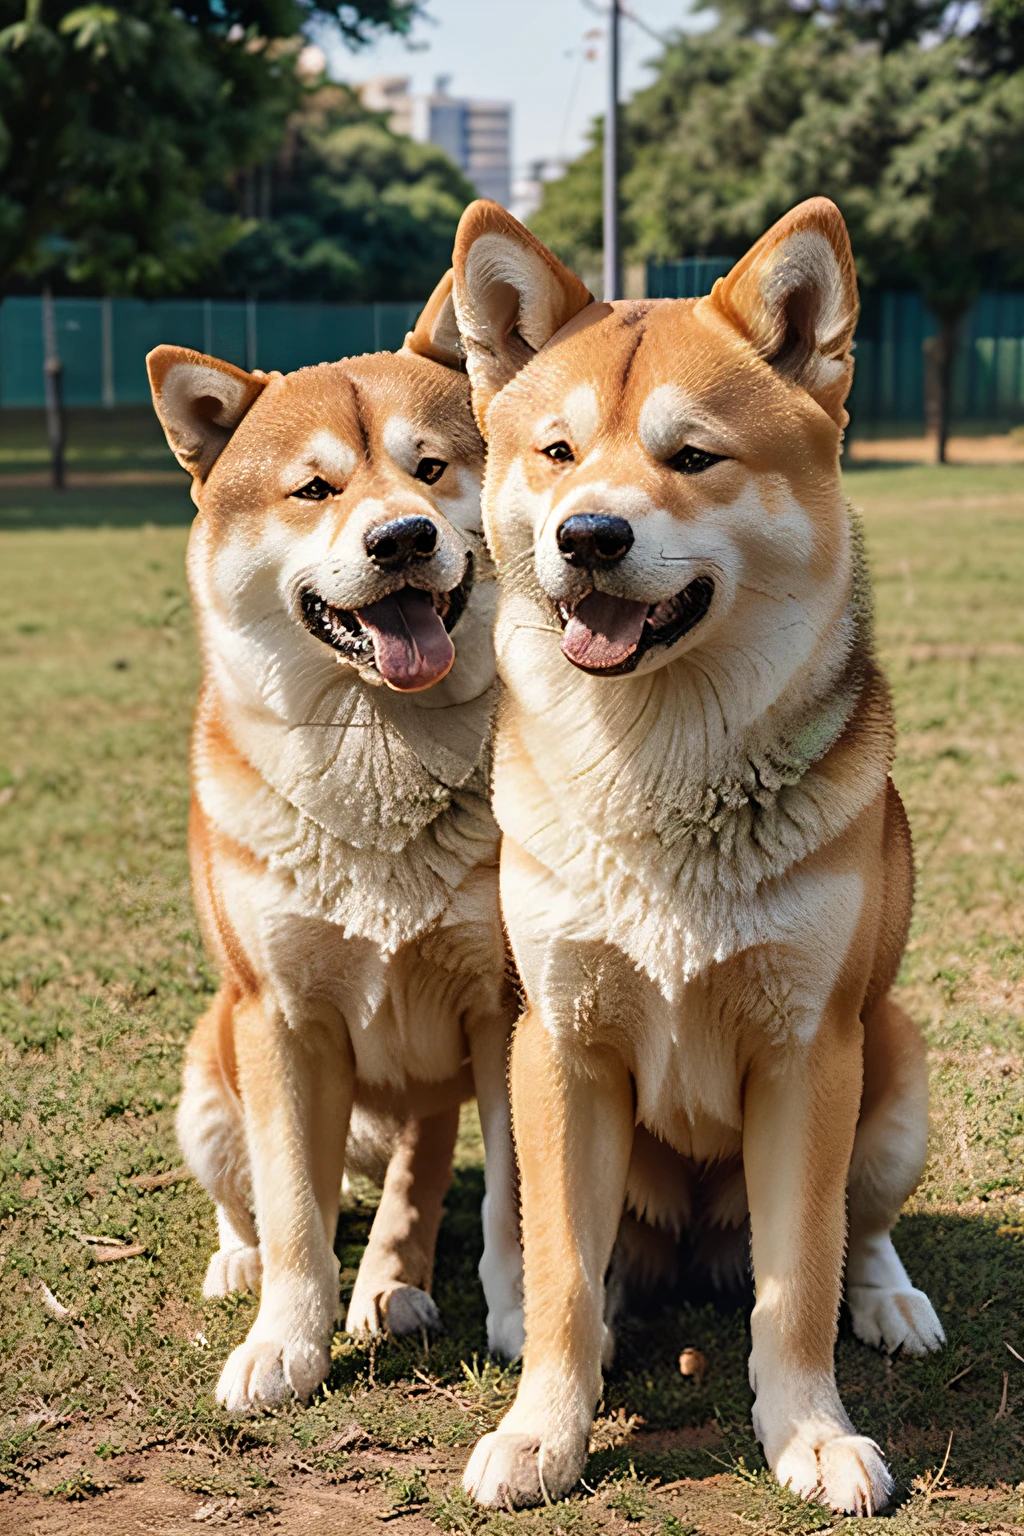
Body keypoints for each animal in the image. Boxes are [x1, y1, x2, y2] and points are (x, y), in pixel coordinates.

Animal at [145, 273, 525, 1406]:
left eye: (432, 468)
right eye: (314, 491)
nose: (399, 539)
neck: (380, 748)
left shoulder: (504, 1007)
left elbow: (509, 1200)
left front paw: (521, 1319)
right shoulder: (275, 1018)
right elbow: (292, 1208)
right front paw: (285, 1342)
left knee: (411, 1178)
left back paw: (392, 1287)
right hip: (208, 1077)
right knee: (252, 1199)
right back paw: (243, 1264)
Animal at [448, 195, 945, 1511]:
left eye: (692, 458)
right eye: (556, 453)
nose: (589, 536)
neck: (658, 771)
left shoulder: (808, 1055)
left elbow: (798, 1281)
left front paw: (810, 1433)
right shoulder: (558, 1048)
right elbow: (562, 1278)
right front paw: (545, 1429)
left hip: (896, 1059)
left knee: (861, 1233)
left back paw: (892, 1300)